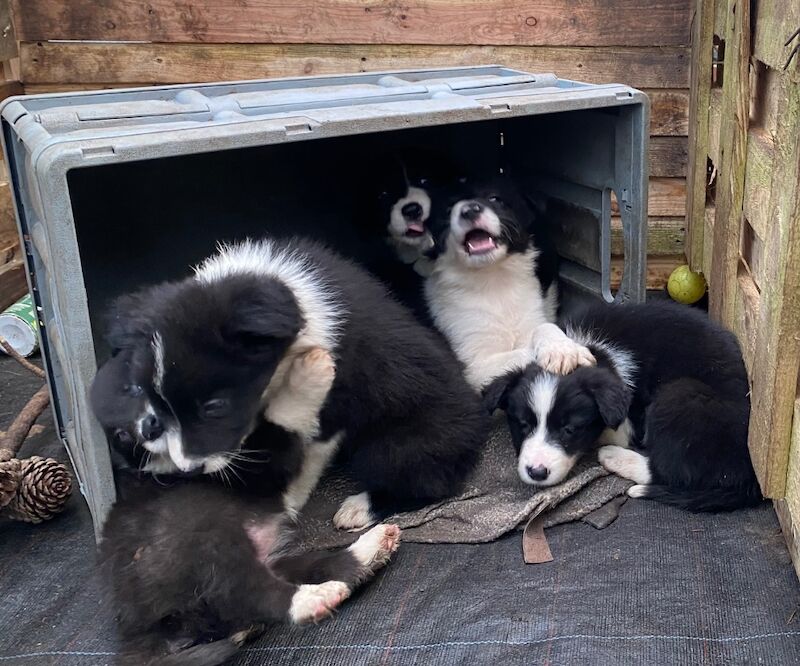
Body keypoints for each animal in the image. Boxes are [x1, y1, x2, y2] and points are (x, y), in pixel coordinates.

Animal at [108, 236, 488, 528]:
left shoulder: (337, 405)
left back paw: (360, 508)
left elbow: (309, 453)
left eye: (214, 407)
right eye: (156, 408)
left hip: (397, 444)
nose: (191, 470)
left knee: (428, 480)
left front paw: (288, 499)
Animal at [424, 175, 592, 390]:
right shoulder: (475, 365)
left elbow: (544, 326)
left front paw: (564, 349)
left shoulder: (532, 317)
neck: (493, 279)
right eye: (448, 209)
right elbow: (520, 356)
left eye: (495, 198)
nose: (469, 210)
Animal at [482, 298, 764, 510]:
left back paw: (616, 458)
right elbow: (542, 327)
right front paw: (560, 351)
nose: (537, 473)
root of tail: (753, 480)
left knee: (669, 472)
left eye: (570, 430)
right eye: (522, 425)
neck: (597, 350)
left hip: (678, 396)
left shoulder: (628, 424)